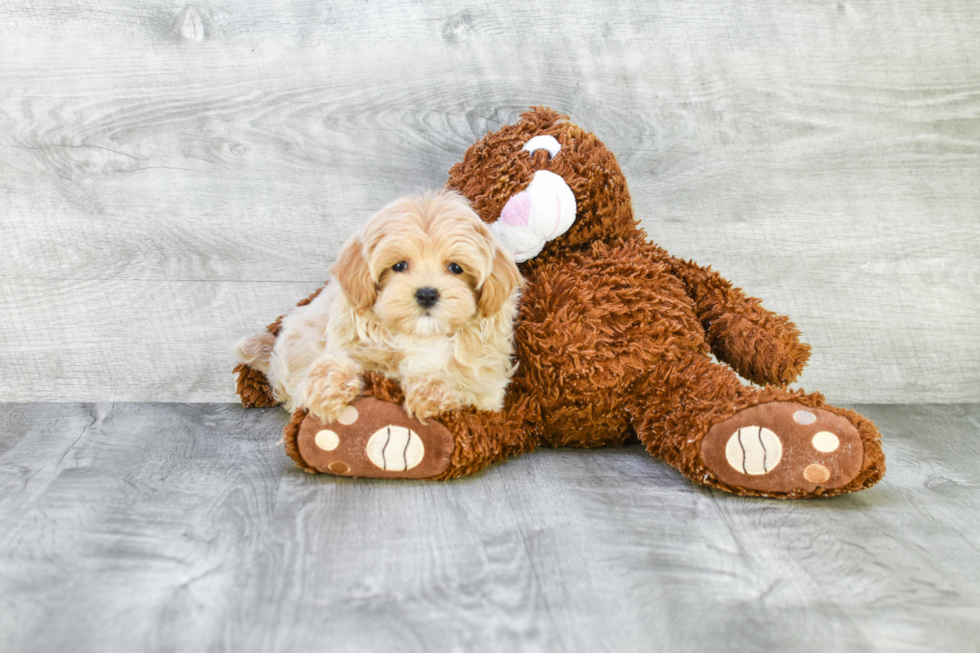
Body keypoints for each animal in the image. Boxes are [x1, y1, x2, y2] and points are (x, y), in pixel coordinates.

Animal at [236, 188, 524, 422]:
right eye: (399, 266)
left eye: (456, 268)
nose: (427, 294)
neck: (422, 336)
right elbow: (340, 366)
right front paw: (328, 392)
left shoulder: (484, 388)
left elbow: (460, 388)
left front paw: (429, 394)